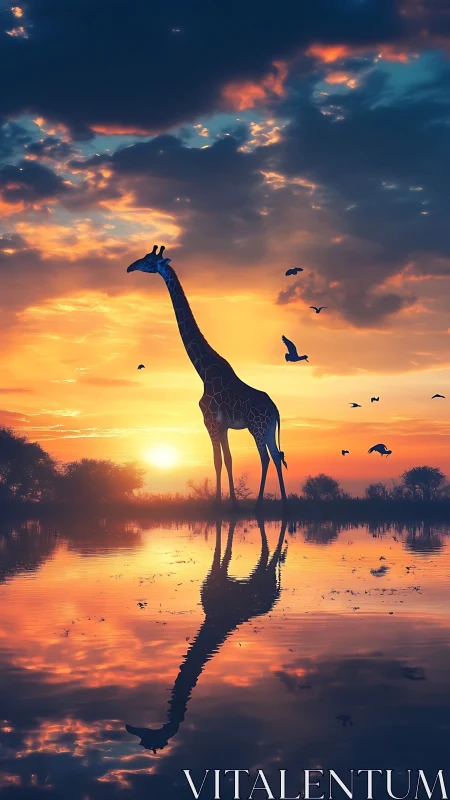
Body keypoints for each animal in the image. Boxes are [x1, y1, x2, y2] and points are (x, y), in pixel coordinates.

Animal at [125, 517, 288, 753]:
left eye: (148, 740)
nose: (130, 727)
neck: (214, 621)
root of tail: (274, 597)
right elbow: (222, 543)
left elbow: (225, 549)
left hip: (264, 576)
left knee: (269, 552)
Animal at [127, 245, 288, 507]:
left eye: (149, 260)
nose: (130, 267)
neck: (203, 371)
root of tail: (275, 410)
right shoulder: (222, 426)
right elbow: (228, 459)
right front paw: (231, 502)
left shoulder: (209, 421)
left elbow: (217, 461)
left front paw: (218, 504)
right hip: (268, 427)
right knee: (276, 455)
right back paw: (283, 503)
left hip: (257, 426)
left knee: (264, 457)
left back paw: (258, 504)